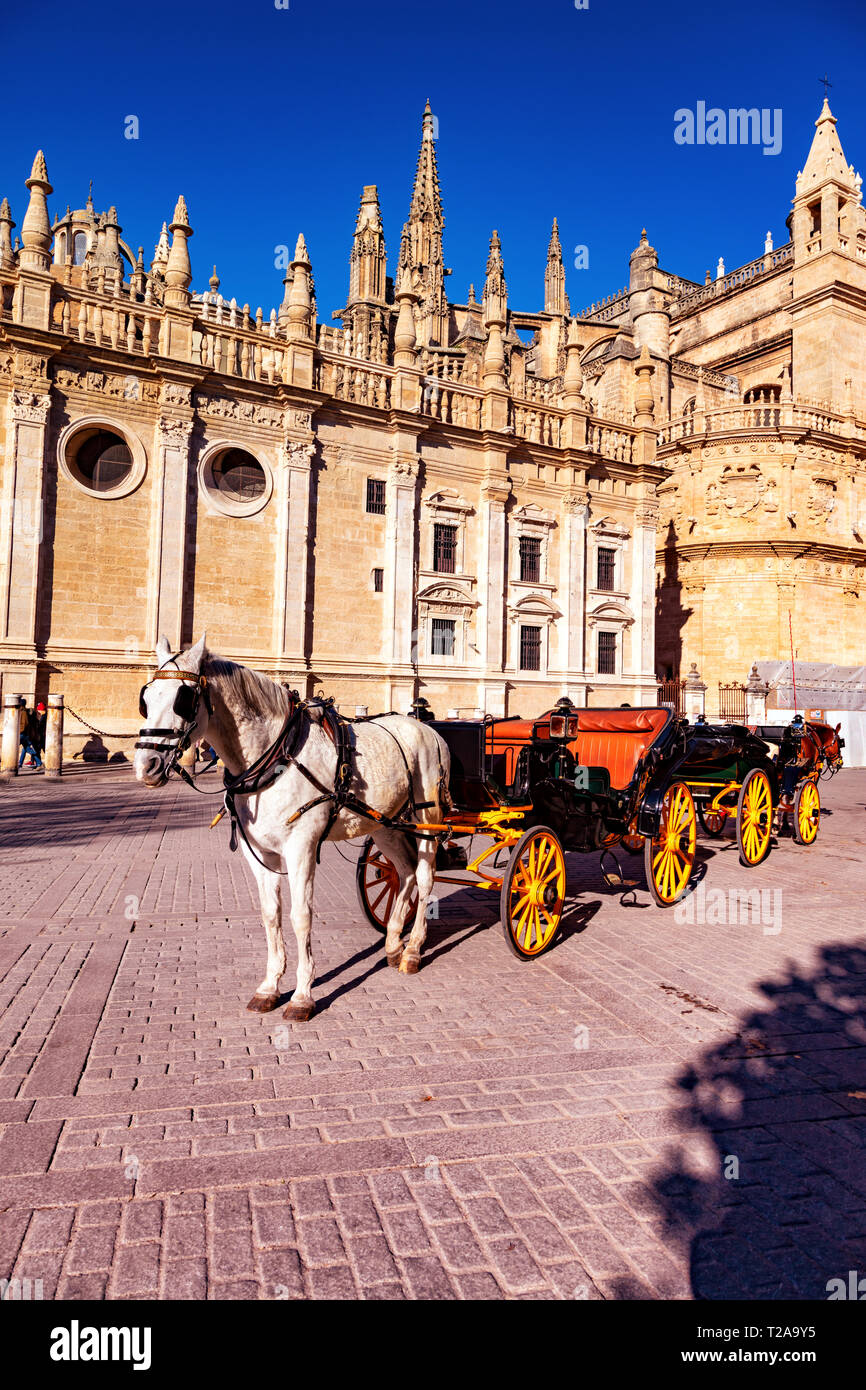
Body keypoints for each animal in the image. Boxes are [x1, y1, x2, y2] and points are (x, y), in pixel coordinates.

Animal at [134, 636, 453, 1017]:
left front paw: (302, 995)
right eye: (146, 699)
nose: (146, 765)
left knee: (424, 875)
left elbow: (301, 916)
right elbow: (270, 914)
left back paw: (414, 950)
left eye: (183, 699)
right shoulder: (259, 852)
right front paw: (270, 986)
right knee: (403, 872)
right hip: (383, 823)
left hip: (427, 818)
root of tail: (427, 728)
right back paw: (392, 944)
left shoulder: (301, 847)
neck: (277, 756)